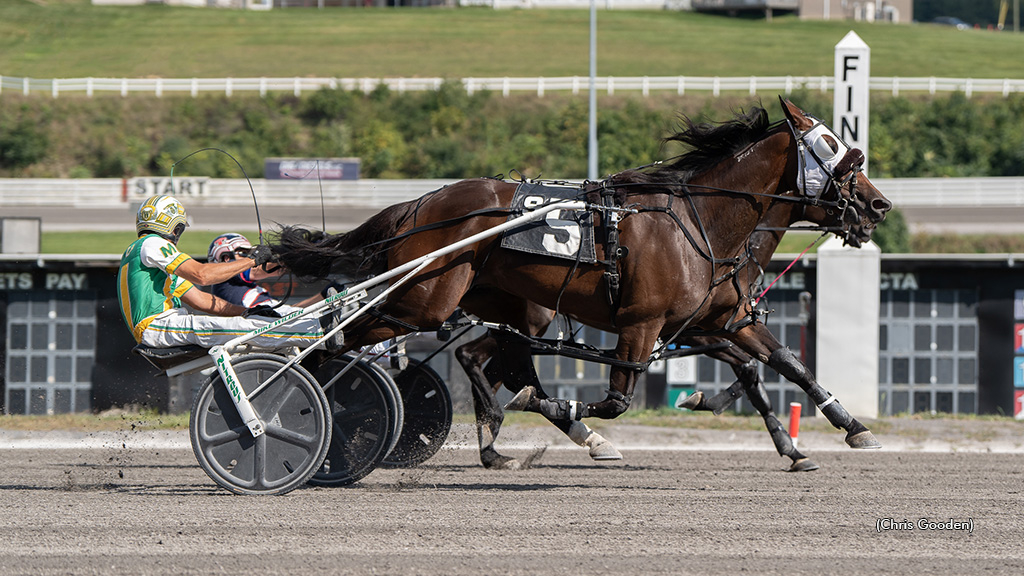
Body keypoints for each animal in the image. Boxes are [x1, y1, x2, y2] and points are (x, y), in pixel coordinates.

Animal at [276, 99, 892, 457]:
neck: (700, 222)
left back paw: (496, 438)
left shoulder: (722, 319)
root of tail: (420, 204)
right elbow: (618, 399)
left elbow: (784, 362)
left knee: (478, 356)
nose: (878, 206)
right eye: (835, 149)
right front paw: (582, 418)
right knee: (340, 339)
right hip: (426, 300)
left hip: (511, 308)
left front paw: (842, 427)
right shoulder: (646, 324)